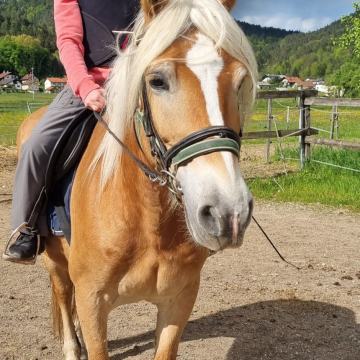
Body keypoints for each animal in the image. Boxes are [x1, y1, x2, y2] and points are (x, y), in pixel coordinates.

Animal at [17, 0, 258, 358]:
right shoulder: (93, 302)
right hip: (53, 260)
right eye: (157, 81)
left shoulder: (179, 299)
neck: (147, 218)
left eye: (240, 80)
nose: (228, 213)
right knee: (62, 296)